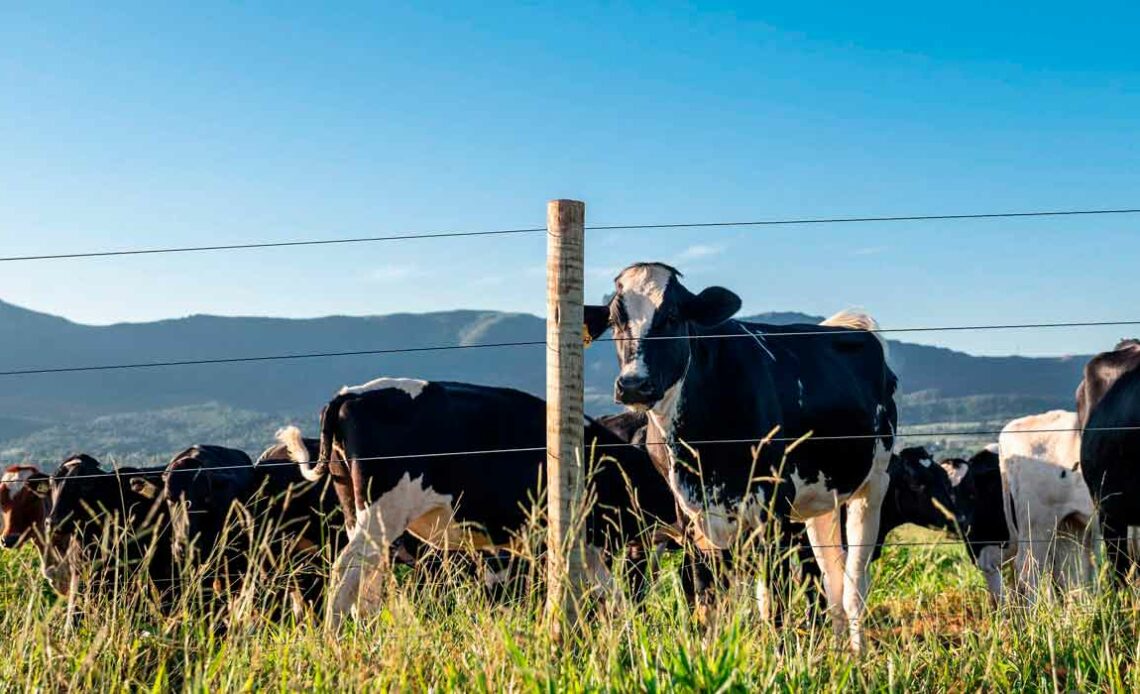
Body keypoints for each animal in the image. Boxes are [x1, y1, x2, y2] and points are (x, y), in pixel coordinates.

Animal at [280, 376, 679, 624]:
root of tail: (350, 395)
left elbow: (609, 592)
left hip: (358, 512)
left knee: (366, 582)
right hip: (381, 514)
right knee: (347, 572)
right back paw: (335, 639)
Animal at [583, 260, 893, 647]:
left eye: (672, 316)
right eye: (615, 319)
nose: (633, 385)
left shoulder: (773, 506)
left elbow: (775, 602)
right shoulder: (691, 514)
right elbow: (708, 600)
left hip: (874, 484)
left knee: (854, 583)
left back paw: (858, 652)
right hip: (819, 500)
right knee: (832, 574)